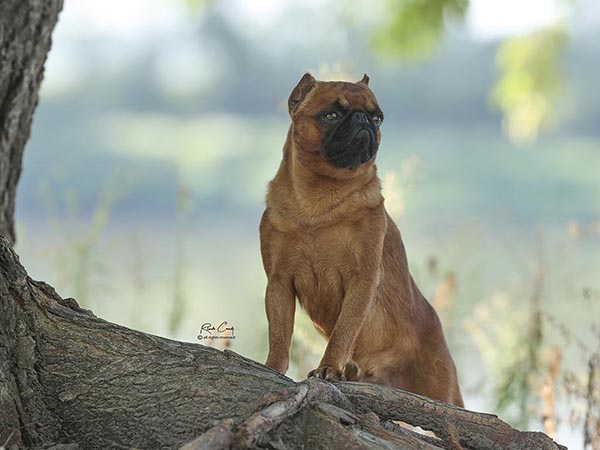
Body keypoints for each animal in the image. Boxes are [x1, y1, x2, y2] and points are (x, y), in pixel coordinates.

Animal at [258, 72, 464, 406]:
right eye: (330, 115)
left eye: (378, 118)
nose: (363, 119)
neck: (318, 202)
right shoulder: (278, 283)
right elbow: (278, 333)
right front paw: (273, 366)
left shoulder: (362, 280)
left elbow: (343, 331)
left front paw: (329, 368)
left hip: (441, 388)